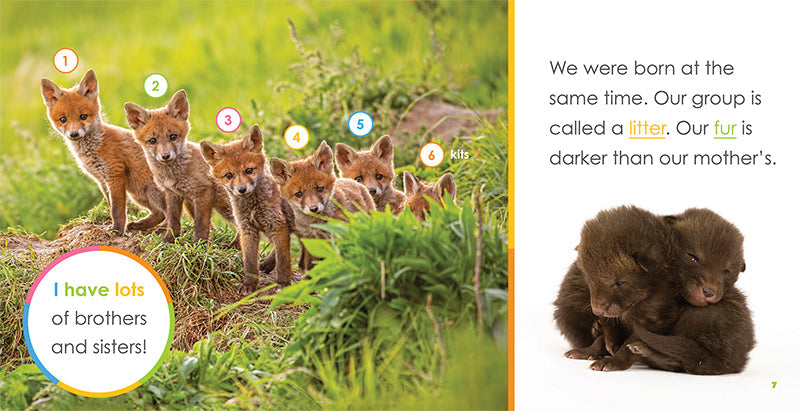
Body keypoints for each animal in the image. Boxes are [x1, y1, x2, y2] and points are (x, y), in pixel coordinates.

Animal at [40, 69, 167, 235]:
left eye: (83, 116)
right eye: (63, 119)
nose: (74, 134)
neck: (93, 149)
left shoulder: (115, 173)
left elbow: (117, 210)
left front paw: (117, 231)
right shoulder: (101, 180)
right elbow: (111, 205)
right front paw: (116, 228)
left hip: (151, 191)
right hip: (139, 193)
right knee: (159, 213)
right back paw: (140, 225)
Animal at [125, 90, 238, 246]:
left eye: (173, 137)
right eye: (152, 141)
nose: (165, 156)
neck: (173, 174)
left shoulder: (203, 192)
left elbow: (200, 224)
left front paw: (199, 244)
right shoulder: (173, 194)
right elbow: (173, 222)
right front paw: (168, 241)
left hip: (227, 207)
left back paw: (234, 246)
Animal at [200, 125, 293, 294]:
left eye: (249, 171)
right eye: (228, 175)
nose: (242, 189)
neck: (252, 206)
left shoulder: (277, 224)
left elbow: (283, 260)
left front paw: (283, 283)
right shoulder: (247, 229)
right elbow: (249, 262)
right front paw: (249, 284)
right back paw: (266, 264)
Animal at [271, 141, 375, 271]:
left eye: (320, 189)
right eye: (298, 194)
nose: (313, 208)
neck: (316, 225)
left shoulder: (335, 237)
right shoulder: (309, 240)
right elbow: (310, 265)